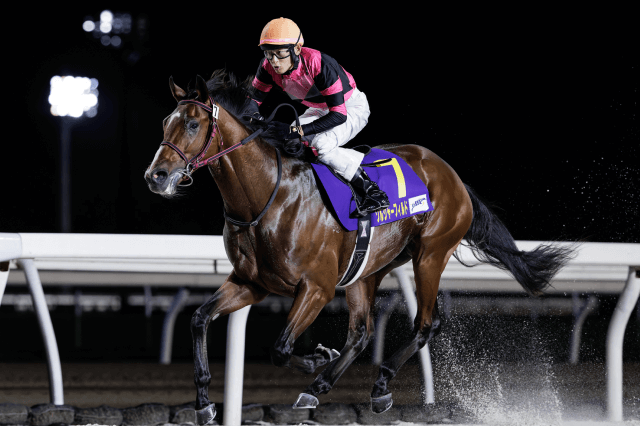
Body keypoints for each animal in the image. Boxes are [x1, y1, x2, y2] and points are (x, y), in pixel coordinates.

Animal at [144, 69, 575, 424]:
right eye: (166, 122)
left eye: (193, 123)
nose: (156, 176)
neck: (267, 196)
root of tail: (452, 176)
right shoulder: (253, 283)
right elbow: (199, 318)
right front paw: (203, 403)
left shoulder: (316, 288)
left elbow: (280, 348)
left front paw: (317, 357)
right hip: (367, 271)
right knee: (361, 332)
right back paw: (320, 388)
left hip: (430, 255)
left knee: (425, 324)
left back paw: (379, 386)